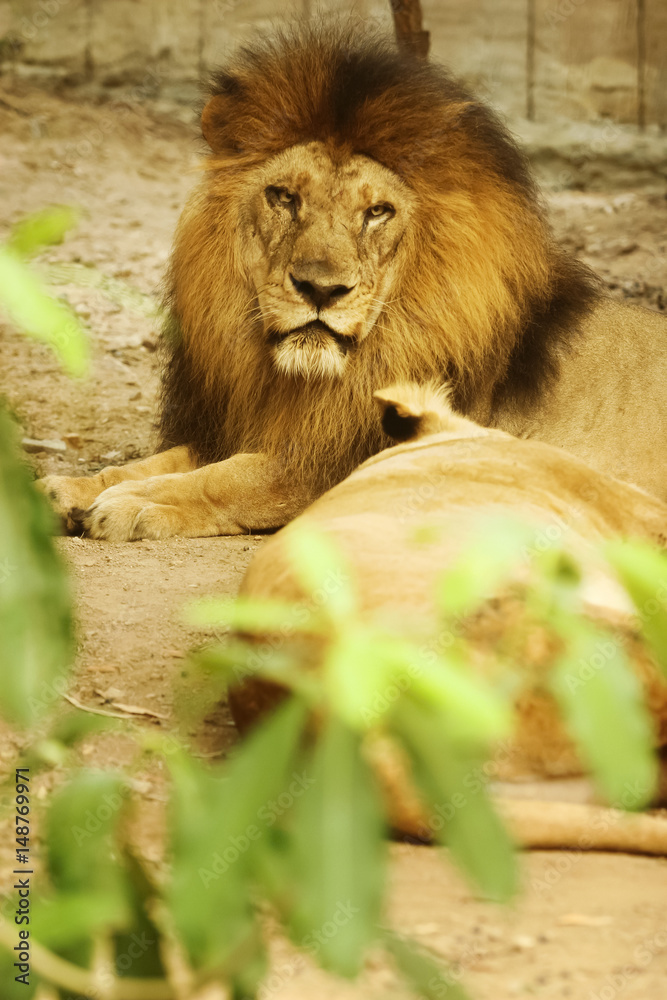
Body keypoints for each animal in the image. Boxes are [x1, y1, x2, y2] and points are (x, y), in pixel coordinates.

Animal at [40, 23, 667, 540]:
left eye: (377, 212)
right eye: (284, 197)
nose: (320, 290)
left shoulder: (338, 461)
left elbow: (226, 478)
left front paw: (134, 504)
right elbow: (165, 459)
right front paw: (73, 488)